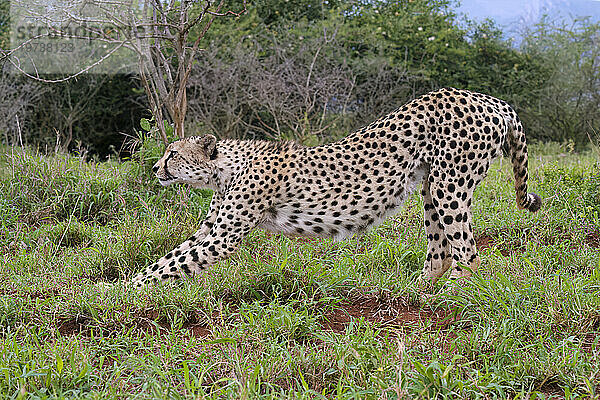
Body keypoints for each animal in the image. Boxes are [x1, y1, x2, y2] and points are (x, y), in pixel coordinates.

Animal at [132, 88, 544, 288]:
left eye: (172, 153)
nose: (154, 167)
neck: (225, 168)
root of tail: (489, 98)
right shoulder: (210, 230)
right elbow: (170, 258)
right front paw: (125, 286)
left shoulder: (223, 236)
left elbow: (173, 264)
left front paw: (126, 292)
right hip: (432, 185)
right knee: (441, 249)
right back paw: (415, 289)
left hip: (450, 184)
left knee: (468, 252)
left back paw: (453, 292)